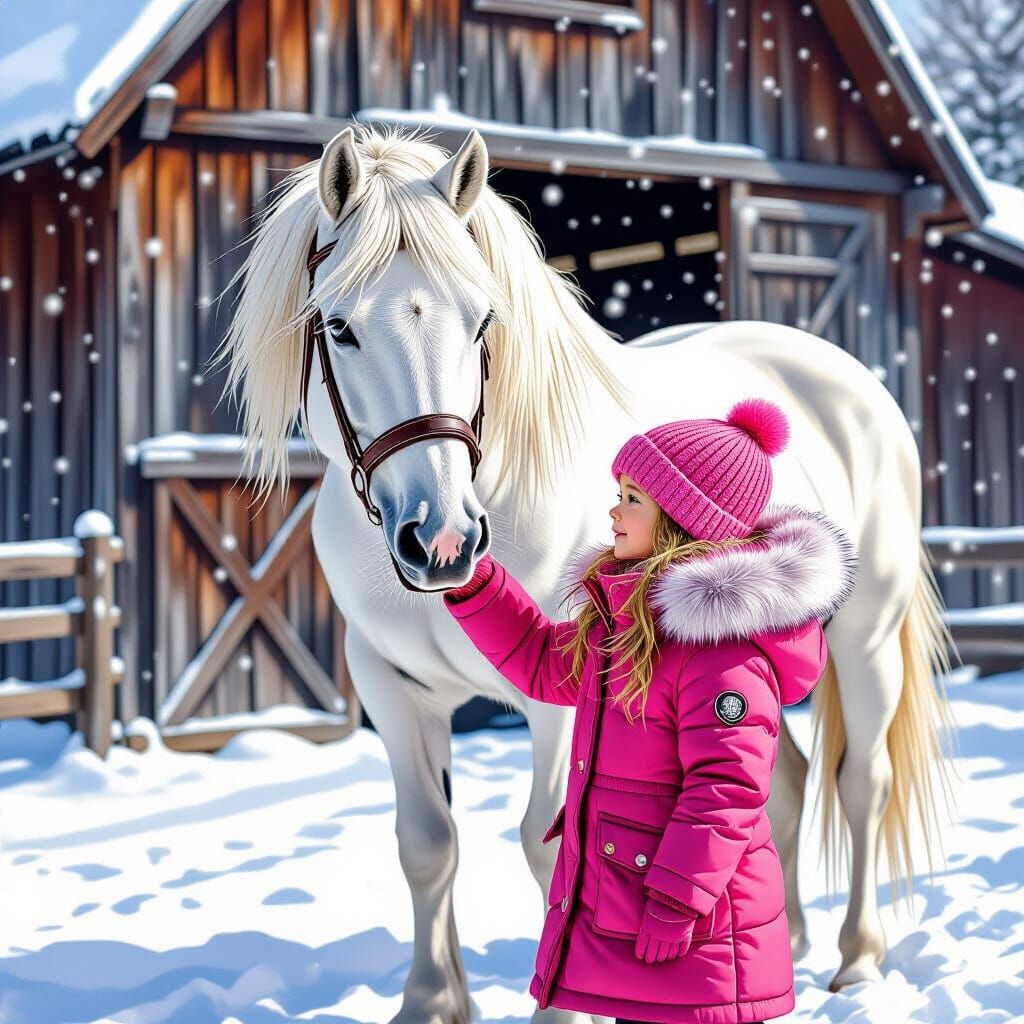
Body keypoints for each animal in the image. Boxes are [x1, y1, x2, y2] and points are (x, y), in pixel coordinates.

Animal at [212, 121, 958, 1023]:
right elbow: (426, 843)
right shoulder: (392, 685)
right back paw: (793, 944)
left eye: (482, 321)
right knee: (779, 785)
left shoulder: (562, 693)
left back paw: (857, 960)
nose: (445, 539)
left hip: (867, 639)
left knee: (860, 783)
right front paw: (432, 1000)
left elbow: (549, 843)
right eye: (340, 325)